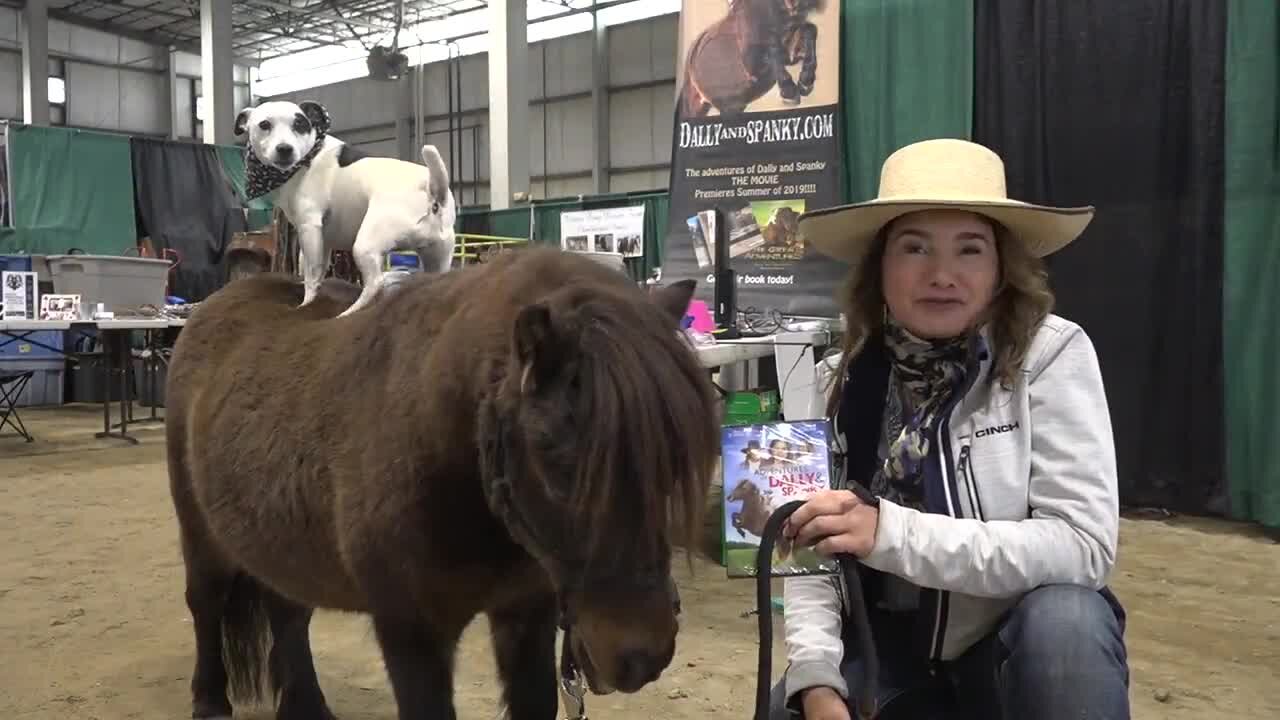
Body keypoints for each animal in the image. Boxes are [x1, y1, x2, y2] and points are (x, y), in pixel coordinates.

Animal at [162, 245, 721, 717]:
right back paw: (209, 702)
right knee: (205, 603)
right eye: (552, 452)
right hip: (201, 535)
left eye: (674, 457)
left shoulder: (526, 614)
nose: (640, 653)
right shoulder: (412, 633)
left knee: (288, 613)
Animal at [238, 99, 458, 315]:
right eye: (264, 125)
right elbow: (317, 273)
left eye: (299, 124)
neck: (309, 157)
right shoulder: (323, 240)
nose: (285, 148)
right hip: (438, 258)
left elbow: (310, 276)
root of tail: (432, 187)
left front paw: (306, 304)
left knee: (376, 282)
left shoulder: (309, 228)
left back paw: (350, 311)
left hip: (365, 246)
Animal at [680, 0, 819, 117]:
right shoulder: (754, 65)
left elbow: (810, 29)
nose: (795, 6)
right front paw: (789, 91)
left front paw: (806, 82)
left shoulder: (789, 51)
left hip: (732, 107)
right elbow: (772, 48)